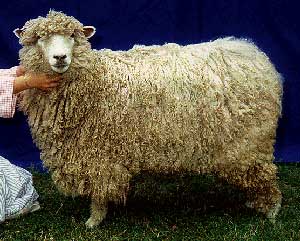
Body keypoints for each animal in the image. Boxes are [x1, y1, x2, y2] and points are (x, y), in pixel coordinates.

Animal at [13, 9, 284, 228]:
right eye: (39, 38)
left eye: (72, 36)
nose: (60, 58)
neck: (94, 80)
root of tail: (254, 56)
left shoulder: (99, 153)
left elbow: (100, 190)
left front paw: (94, 220)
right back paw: (255, 203)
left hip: (250, 142)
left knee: (266, 176)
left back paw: (272, 211)